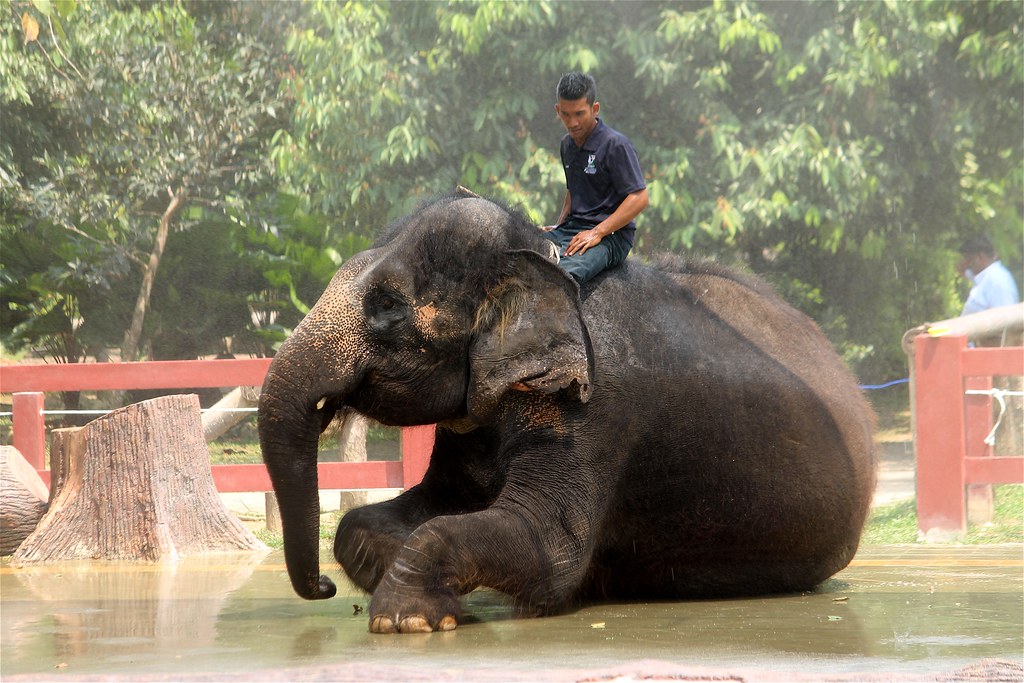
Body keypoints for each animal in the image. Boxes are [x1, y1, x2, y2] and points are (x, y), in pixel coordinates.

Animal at [257, 189, 877, 634]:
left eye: (386, 305)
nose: (322, 588)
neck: (537, 257)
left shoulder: (594, 406)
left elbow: (548, 551)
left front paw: (403, 618)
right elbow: (411, 512)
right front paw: (426, 589)